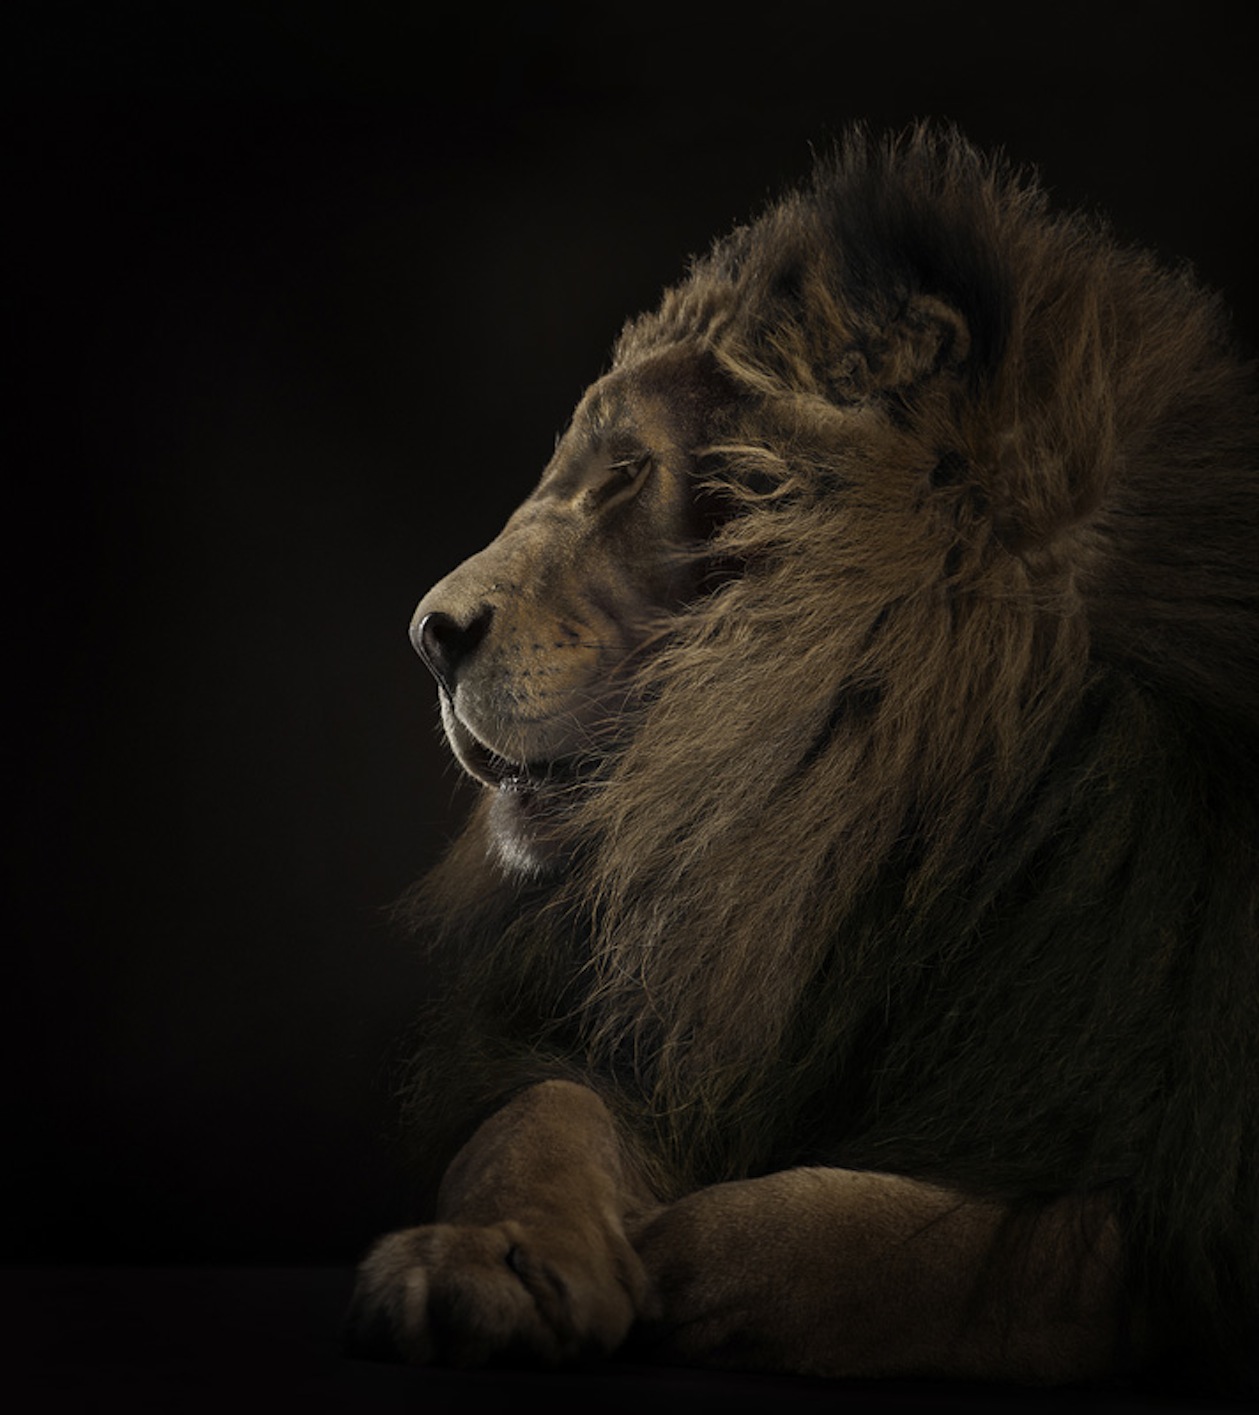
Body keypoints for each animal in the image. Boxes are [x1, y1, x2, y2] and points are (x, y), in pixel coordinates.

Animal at [346, 127, 1259, 1395]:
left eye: (625, 473)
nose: (428, 634)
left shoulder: (1161, 1185)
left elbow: (909, 1246)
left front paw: (678, 1252)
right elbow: (533, 1116)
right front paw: (492, 1259)